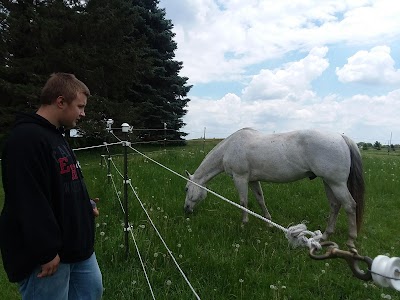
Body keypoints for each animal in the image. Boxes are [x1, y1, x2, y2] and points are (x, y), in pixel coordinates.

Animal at [184, 127, 366, 250]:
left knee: (350, 205)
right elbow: (260, 200)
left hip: (336, 183)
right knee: (335, 205)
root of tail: (342, 137)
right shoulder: (253, 180)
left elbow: (243, 202)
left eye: (186, 189)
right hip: (328, 182)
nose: (186, 209)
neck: (231, 147)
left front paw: (243, 224)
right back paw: (325, 235)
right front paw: (269, 223)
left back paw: (351, 241)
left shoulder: (240, 178)